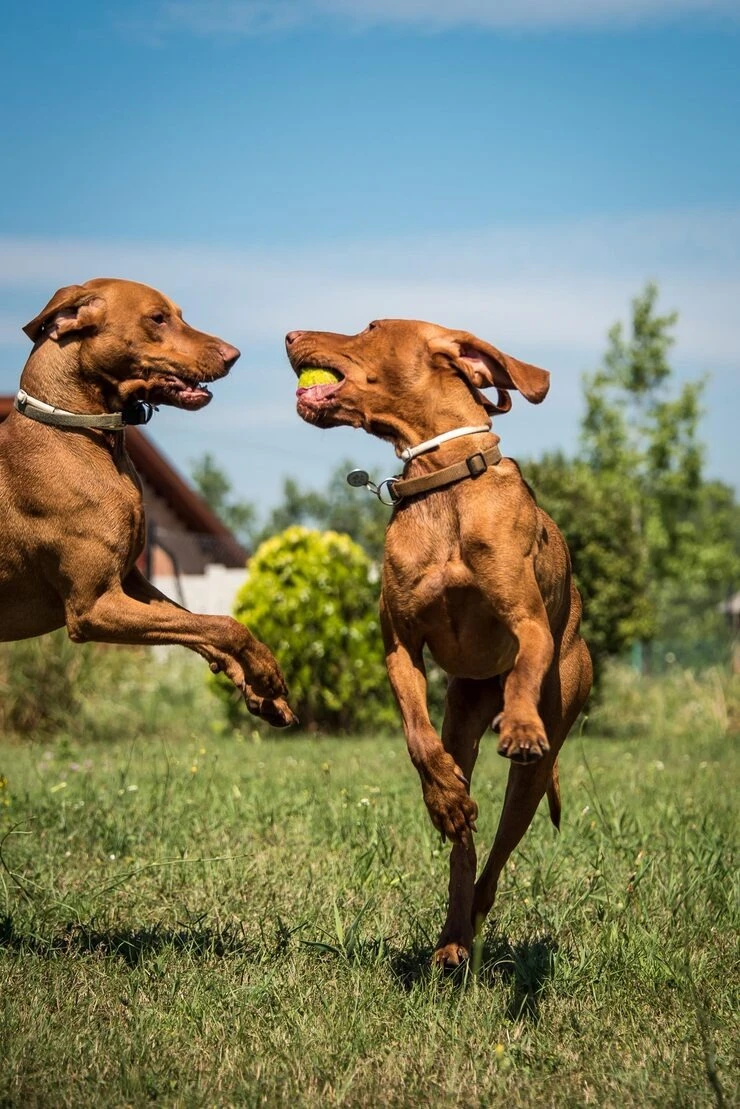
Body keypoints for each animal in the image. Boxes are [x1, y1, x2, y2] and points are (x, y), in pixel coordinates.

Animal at [0, 278, 295, 728]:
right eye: (158, 318)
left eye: (180, 315)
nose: (233, 355)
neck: (76, 433)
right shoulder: (94, 607)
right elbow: (224, 626)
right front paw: (265, 672)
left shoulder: (132, 584)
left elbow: (197, 623)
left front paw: (259, 691)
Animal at [286, 318, 592, 964]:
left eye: (371, 327)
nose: (290, 334)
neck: (442, 481)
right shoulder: (399, 648)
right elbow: (416, 736)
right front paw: (443, 798)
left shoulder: (528, 622)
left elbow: (525, 665)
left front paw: (519, 723)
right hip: (464, 713)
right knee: (465, 846)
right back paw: (453, 930)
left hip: (541, 759)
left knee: (498, 855)